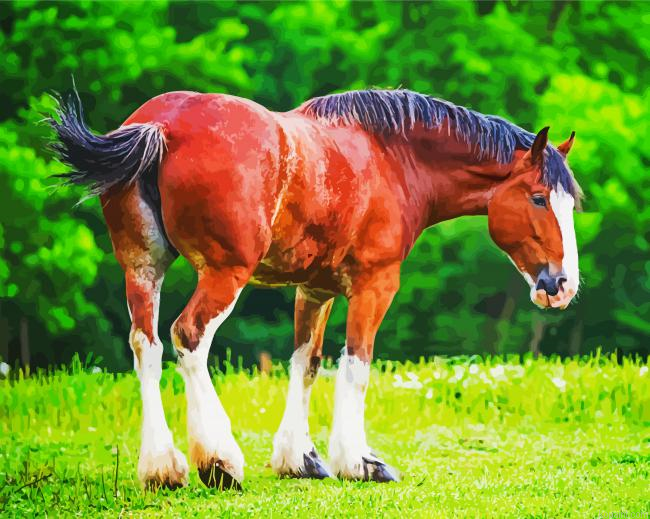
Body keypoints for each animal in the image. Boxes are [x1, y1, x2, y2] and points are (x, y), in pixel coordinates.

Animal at [50, 87, 581, 489]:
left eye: (568, 204)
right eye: (538, 198)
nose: (562, 285)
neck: (392, 158)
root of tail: (163, 124)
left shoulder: (314, 290)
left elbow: (306, 363)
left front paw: (299, 459)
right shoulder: (374, 286)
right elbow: (357, 365)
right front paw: (359, 462)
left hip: (142, 268)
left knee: (147, 345)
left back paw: (162, 467)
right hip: (223, 274)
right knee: (189, 337)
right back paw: (219, 460)